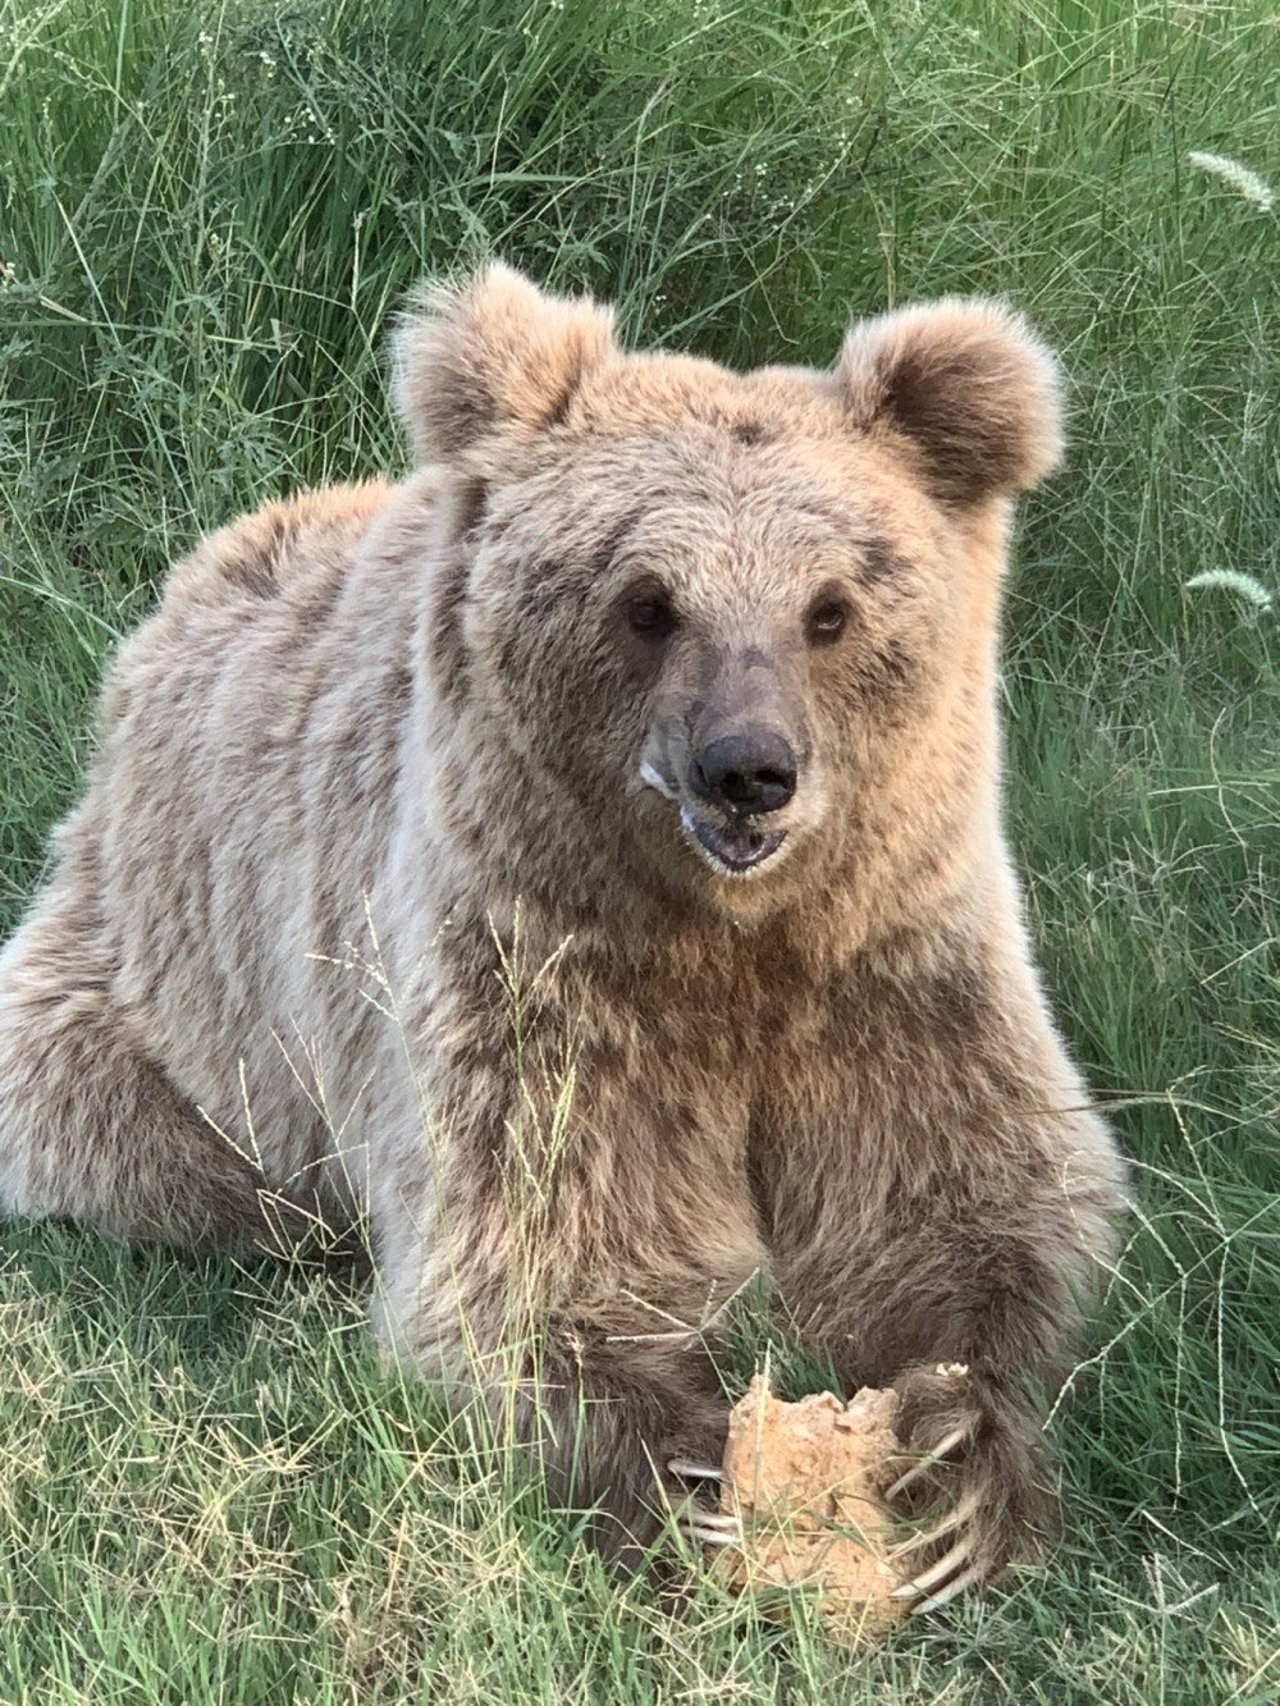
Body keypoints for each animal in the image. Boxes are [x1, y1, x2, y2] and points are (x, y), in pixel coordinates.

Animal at [0, 262, 1119, 1596]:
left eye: (830, 607)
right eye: (647, 601)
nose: (747, 771)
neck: (726, 939)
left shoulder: (886, 958)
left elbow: (965, 1199)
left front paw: (953, 1469)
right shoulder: (535, 968)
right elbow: (531, 1251)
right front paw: (688, 1476)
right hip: (162, 975)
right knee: (140, 1136)